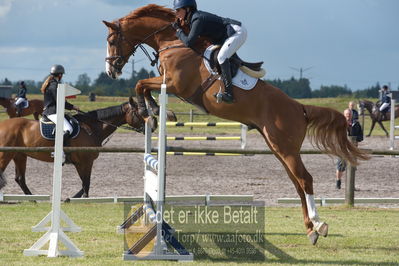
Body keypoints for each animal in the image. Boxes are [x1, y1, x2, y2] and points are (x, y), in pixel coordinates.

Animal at [0, 98, 152, 201]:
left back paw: (33, 199)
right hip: (5, 155)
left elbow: (84, 183)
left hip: (19, 155)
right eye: (139, 113)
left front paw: (72, 198)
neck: (92, 128)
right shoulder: (85, 162)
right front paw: (84, 198)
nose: (152, 127)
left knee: (20, 179)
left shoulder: (82, 163)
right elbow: (86, 182)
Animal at [102, 4, 368, 245]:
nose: (110, 71)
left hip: (286, 148)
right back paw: (310, 230)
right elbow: (142, 85)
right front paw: (153, 110)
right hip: (279, 148)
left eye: (112, 39)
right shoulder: (168, 83)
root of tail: (299, 108)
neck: (173, 41)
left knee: (305, 180)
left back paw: (320, 224)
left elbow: (140, 83)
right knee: (297, 183)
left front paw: (153, 110)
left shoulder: (176, 84)